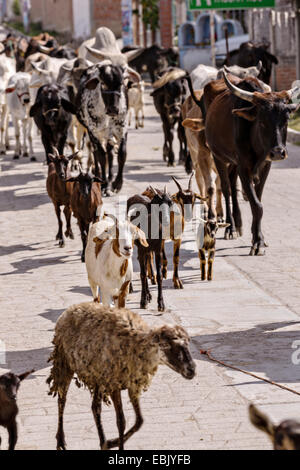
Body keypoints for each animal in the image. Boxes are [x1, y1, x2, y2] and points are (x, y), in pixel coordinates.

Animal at [47, 302, 196, 450]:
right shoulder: (114, 385)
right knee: (62, 399)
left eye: (188, 342)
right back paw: (61, 441)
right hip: (64, 363)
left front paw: (113, 442)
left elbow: (139, 421)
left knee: (95, 407)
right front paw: (117, 443)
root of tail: (71, 308)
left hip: (97, 376)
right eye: (164, 345)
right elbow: (121, 421)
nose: (192, 369)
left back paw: (103, 442)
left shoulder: (133, 384)